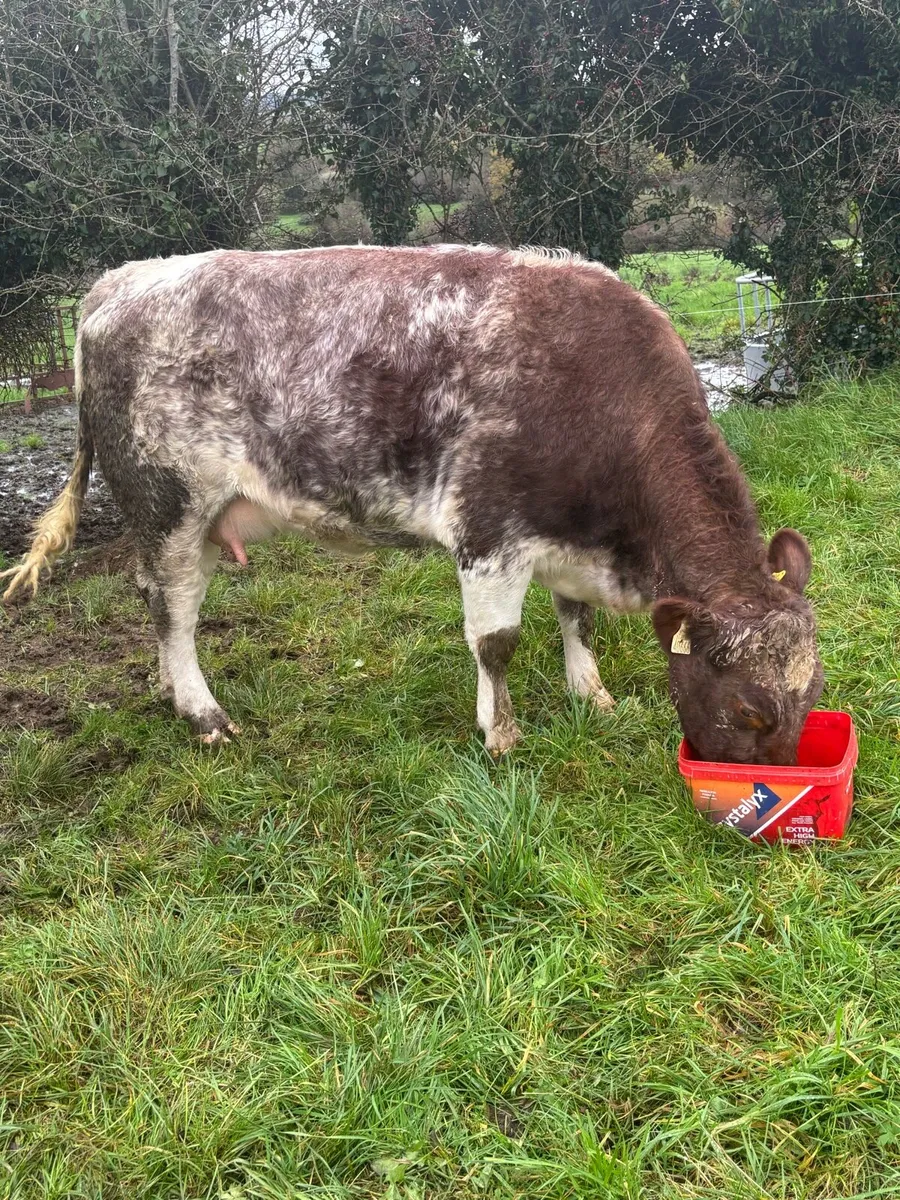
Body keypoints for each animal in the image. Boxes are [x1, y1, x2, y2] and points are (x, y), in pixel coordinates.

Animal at [1, 245, 824, 764]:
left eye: (814, 693)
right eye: (750, 710)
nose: (776, 784)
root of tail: (122, 280)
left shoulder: (562, 535)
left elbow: (576, 618)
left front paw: (591, 695)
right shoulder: (488, 529)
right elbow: (496, 644)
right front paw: (502, 735)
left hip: (193, 519)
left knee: (160, 601)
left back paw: (172, 692)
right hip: (167, 501)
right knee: (172, 607)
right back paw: (204, 714)